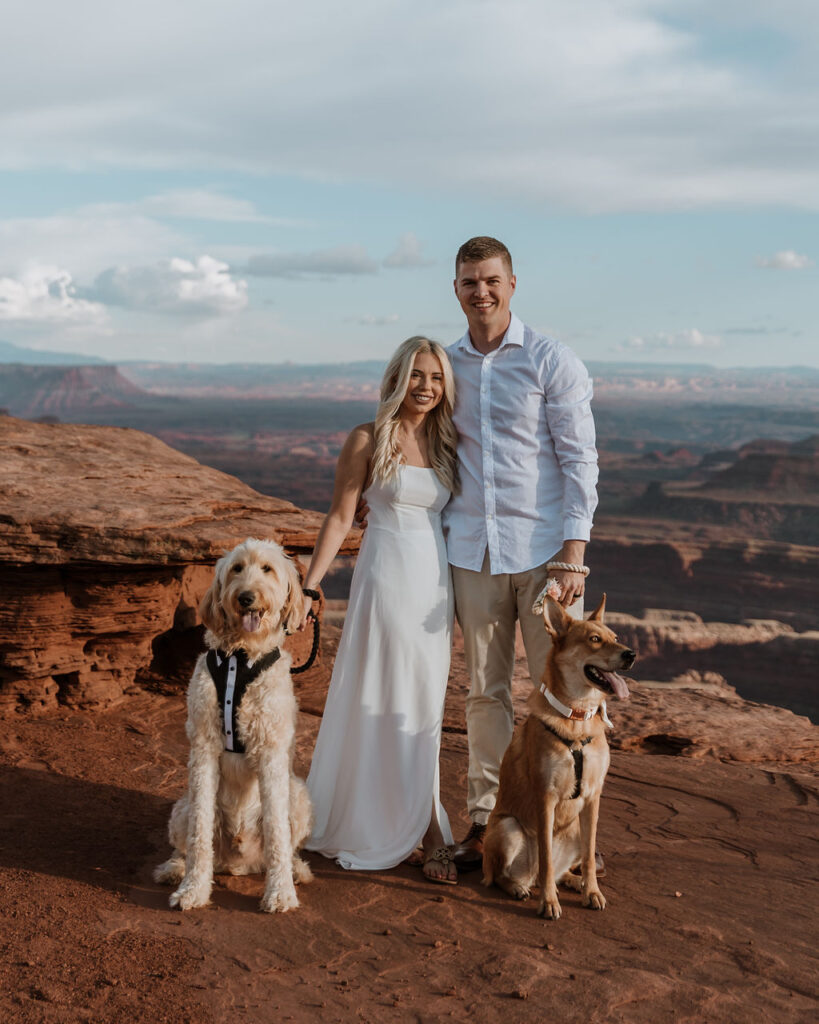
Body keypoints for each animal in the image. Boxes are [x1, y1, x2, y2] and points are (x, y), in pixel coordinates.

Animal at [155, 536, 315, 913]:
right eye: (237, 569)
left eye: (268, 569)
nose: (245, 597)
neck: (241, 657)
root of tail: (240, 864)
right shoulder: (203, 746)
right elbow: (199, 833)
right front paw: (193, 890)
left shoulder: (271, 751)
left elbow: (277, 831)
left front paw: (280, 892)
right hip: (181, 807)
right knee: (188, 842)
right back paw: (174, 869)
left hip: (299, 796)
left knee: (286, 843)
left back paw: (297, 870)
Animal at [483, 593, 634, 921]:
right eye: (594, 640)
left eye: (615, 638)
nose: (631, 654)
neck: (576, 717)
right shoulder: (546, 796)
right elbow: (547, 858)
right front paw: (549, 902)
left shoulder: (593, 797)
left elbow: (589, 857)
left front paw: (592, 891)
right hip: (507, 827)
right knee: (507, 874)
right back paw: (518, 887)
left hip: (576, 825)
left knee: (560, 869)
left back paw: (574, 881)